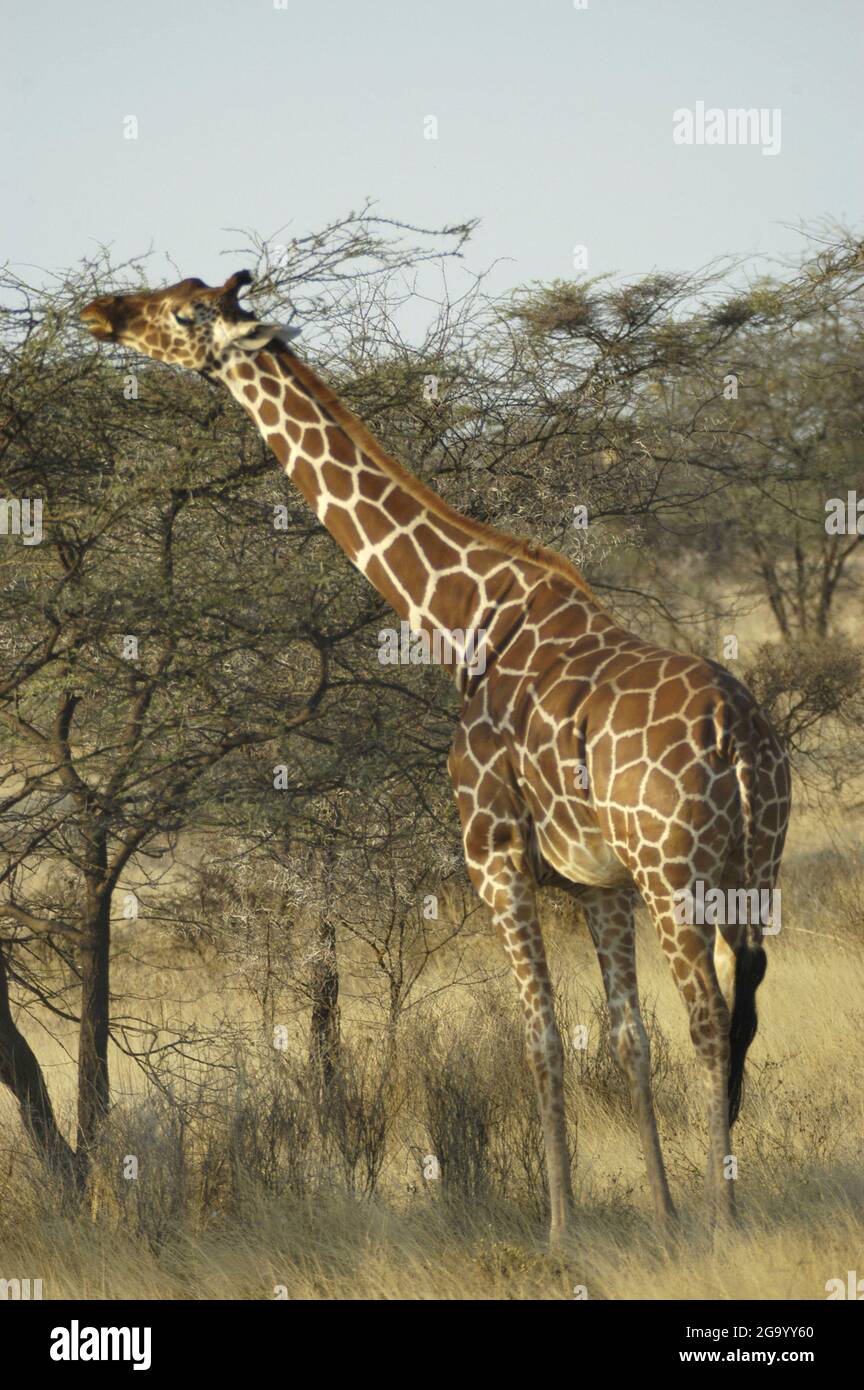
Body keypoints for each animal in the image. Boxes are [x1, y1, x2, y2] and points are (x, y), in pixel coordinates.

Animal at [79, 271, 794, 1251]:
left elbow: (542, 1040)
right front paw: (659, 1212)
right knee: (735, 1014)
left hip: (675, 874)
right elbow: (625, 1040)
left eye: (185, 311)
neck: (463, 621)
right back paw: (717, 1206)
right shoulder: (599, 882)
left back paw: (728, 1222)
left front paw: (561, 1230)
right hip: (750, 870)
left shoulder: (494, 858)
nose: (100, 312)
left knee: (713, 1022)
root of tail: (741, 737)